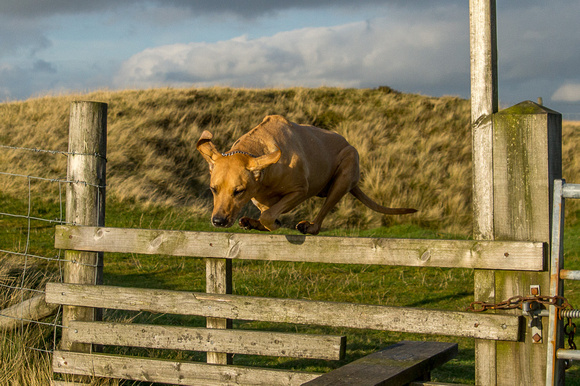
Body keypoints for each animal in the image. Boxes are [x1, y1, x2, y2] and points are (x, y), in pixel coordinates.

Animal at [197, 114, 414, 235]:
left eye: (238, 191)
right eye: (213, 189)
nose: (218, 221)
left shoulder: (300, 191)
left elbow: (269, 215)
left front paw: (271, 223)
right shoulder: (257, 196)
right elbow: (266, 211)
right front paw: (260, 222)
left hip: (345, 172)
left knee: (322, 214)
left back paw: (310, 227)